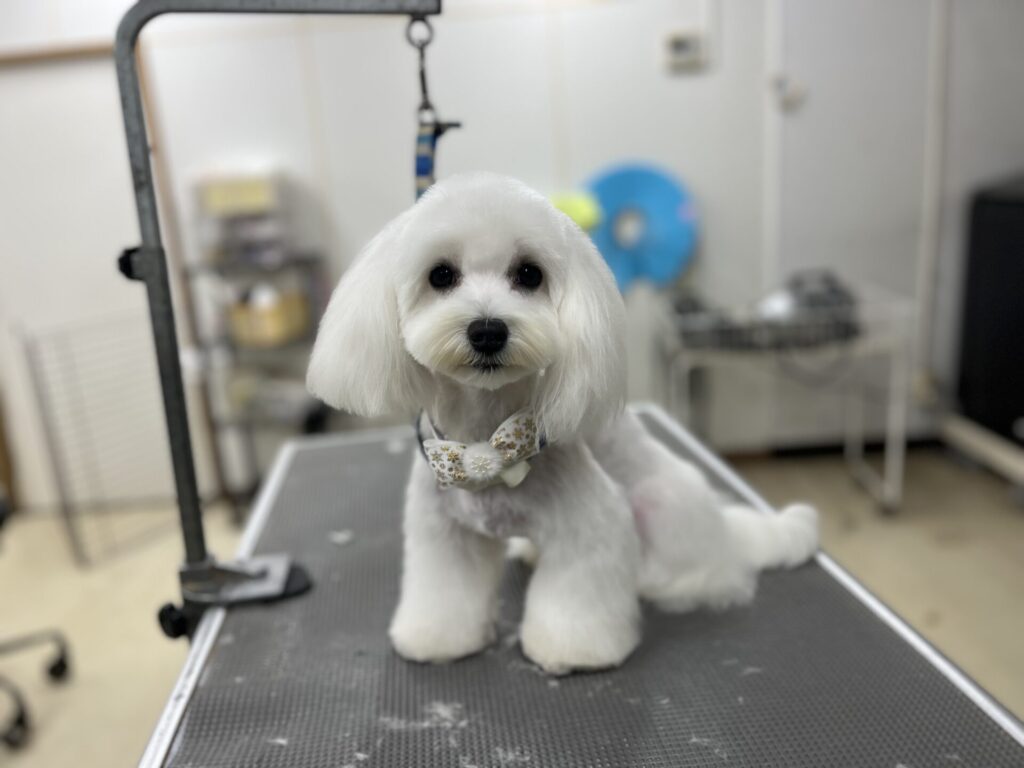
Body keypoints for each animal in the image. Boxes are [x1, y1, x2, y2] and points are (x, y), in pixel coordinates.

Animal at [307, 173, 818, 675]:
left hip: (663, 508)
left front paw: (573, 651)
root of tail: (727, 533)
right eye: (441, 275)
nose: (488, 330)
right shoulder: (444, 533)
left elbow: (577, 596)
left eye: (529, 274)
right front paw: (438, 639)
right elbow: (444, 592)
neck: (485, 439)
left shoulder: (591, 524)